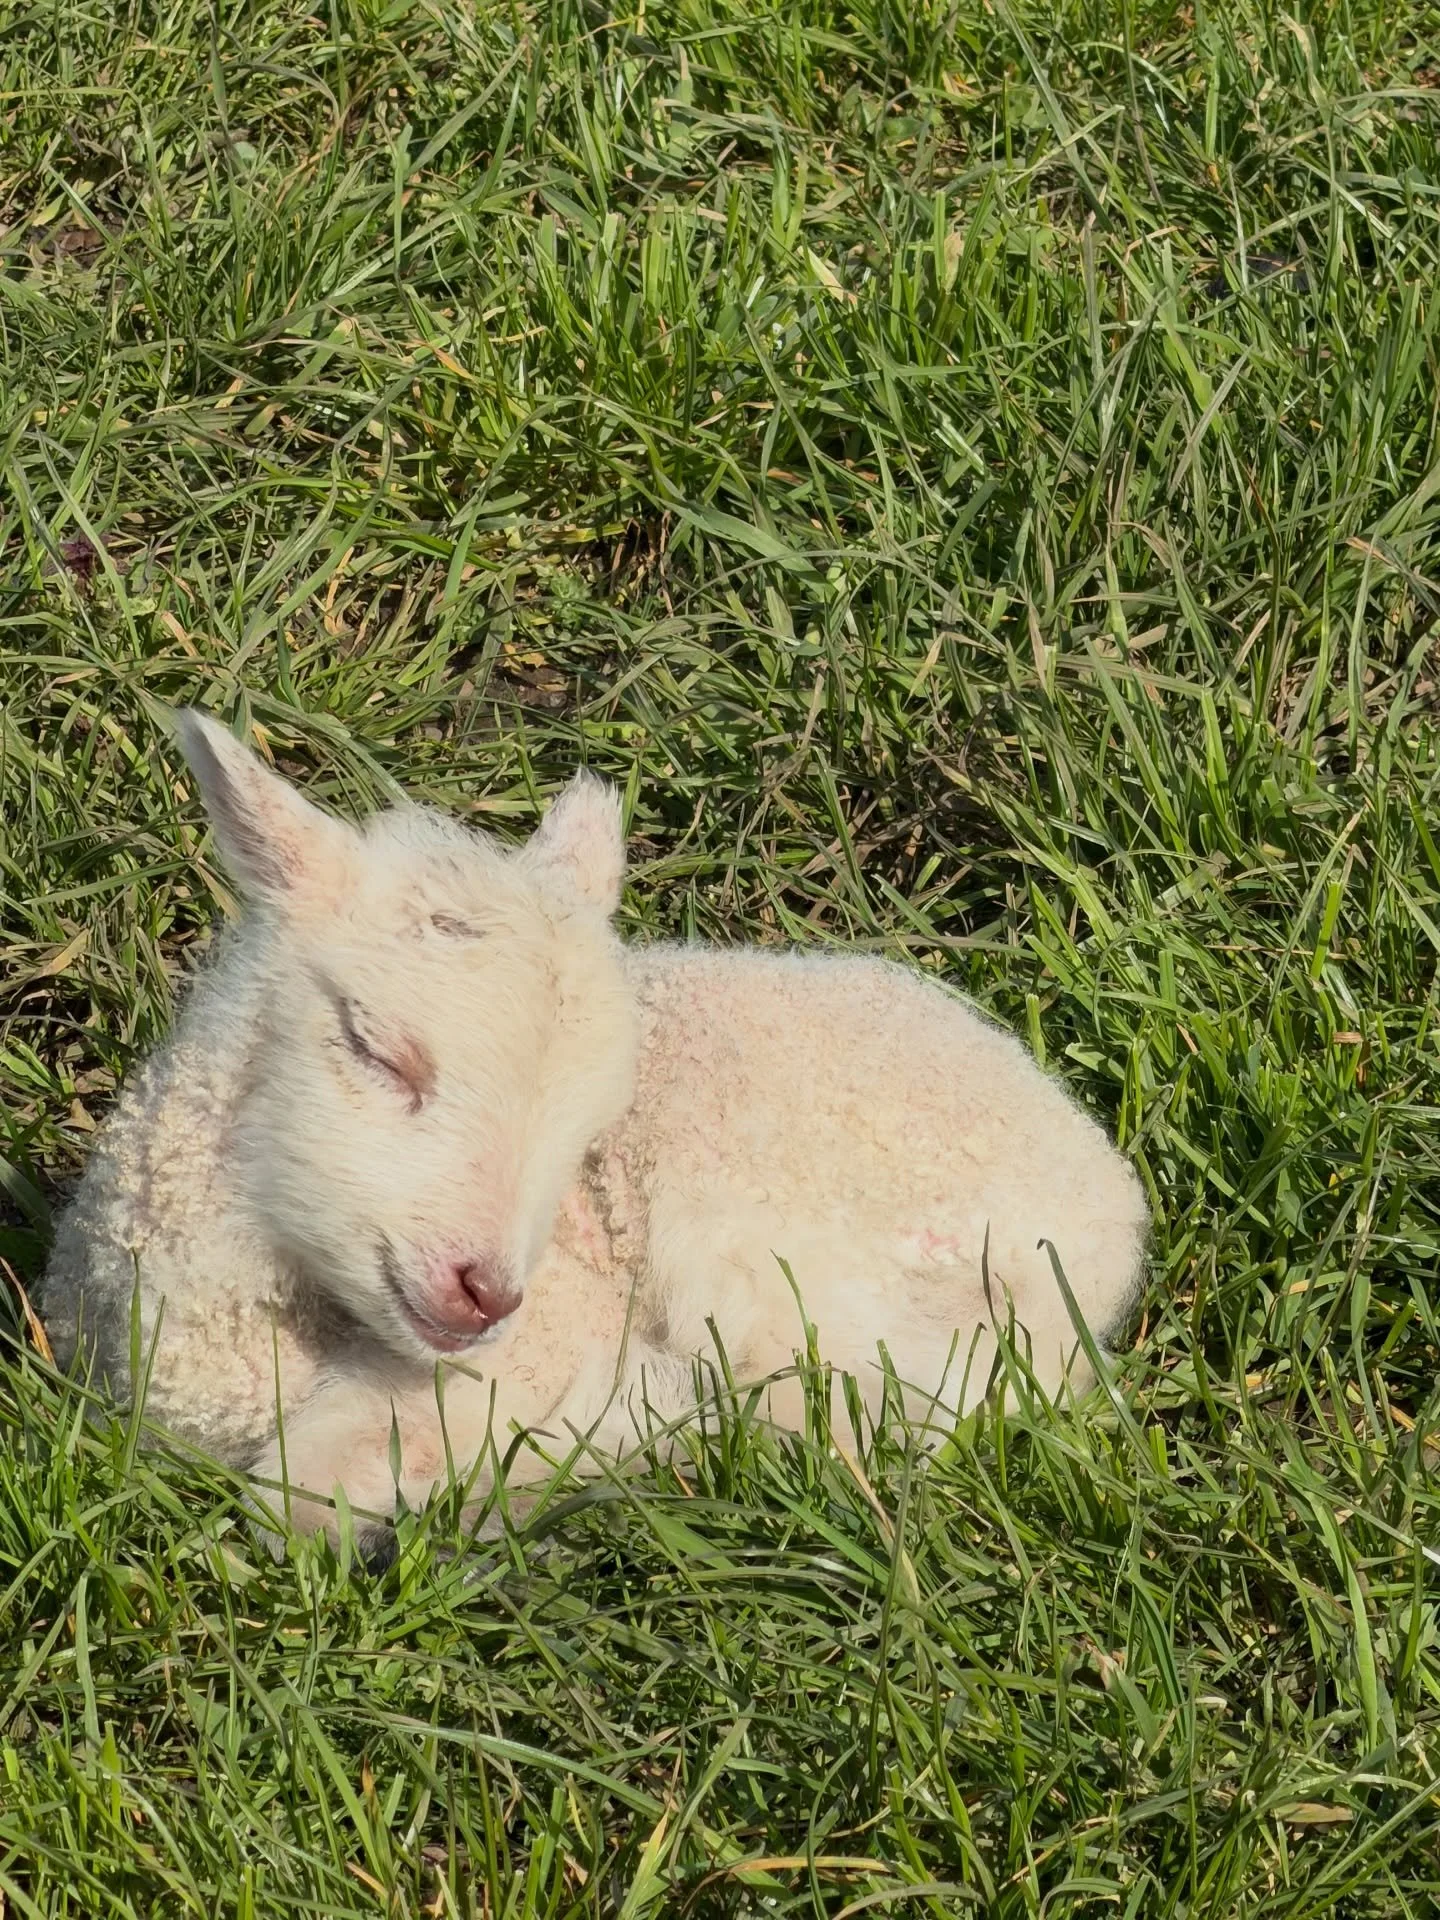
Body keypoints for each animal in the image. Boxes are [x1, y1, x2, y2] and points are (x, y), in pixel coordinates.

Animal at [39, 711, 1151, 1541]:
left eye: (584, 1129)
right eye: (374, 1048)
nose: (486, 1293)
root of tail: (1114, 1224)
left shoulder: (547, 1337)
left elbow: (297, 1494)